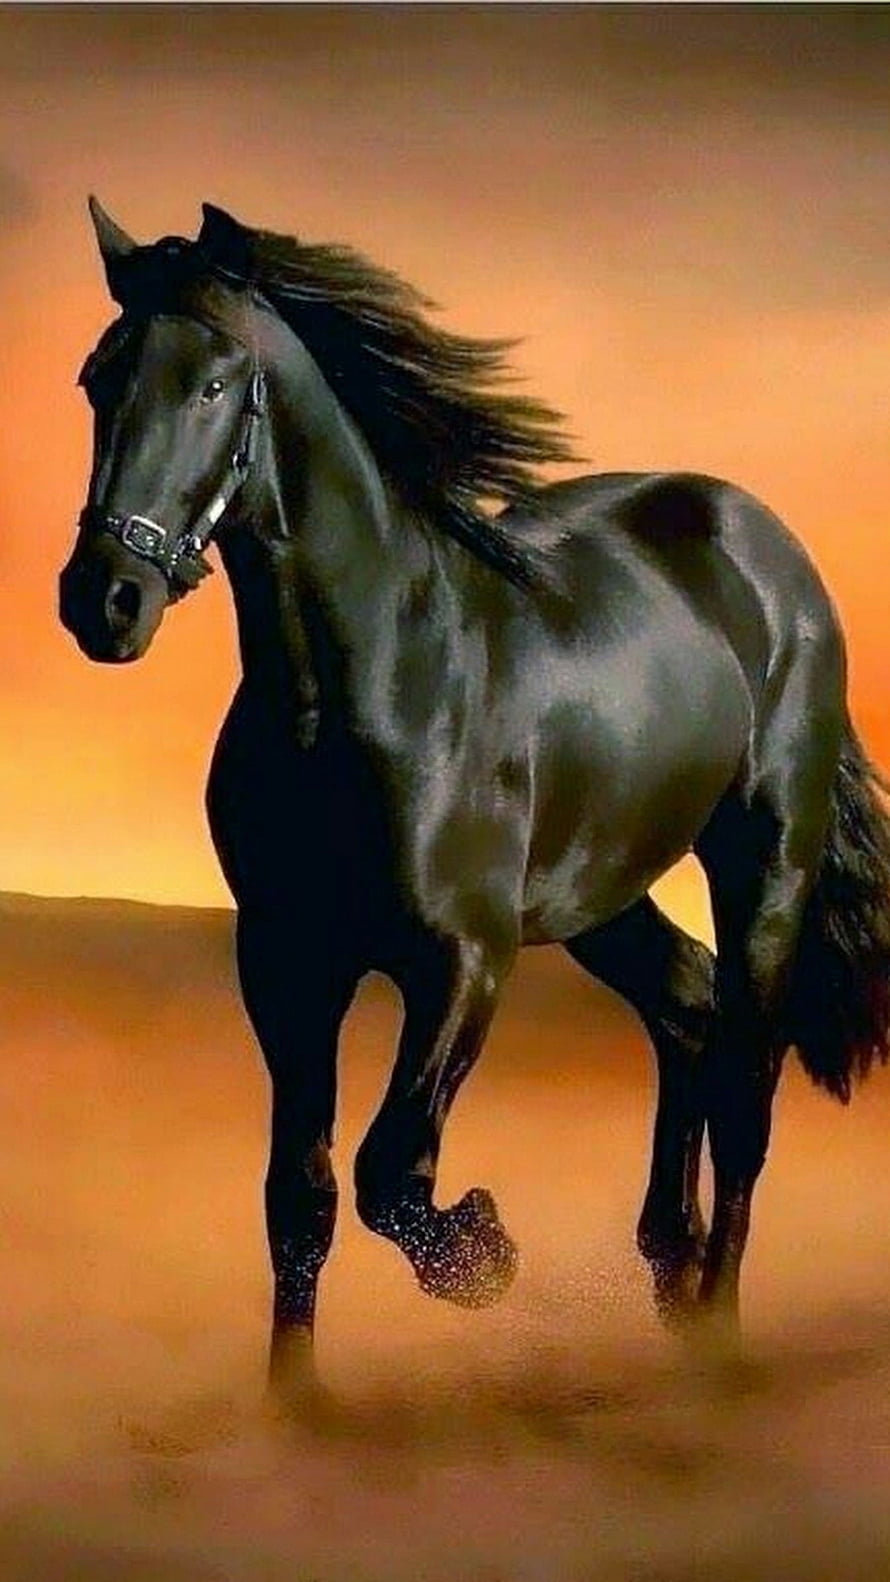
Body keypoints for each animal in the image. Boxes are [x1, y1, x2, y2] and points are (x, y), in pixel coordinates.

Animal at [59, 198, 890, 1407]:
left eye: (212, 384)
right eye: (97, 378)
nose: (104, 601)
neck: (369, 683)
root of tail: (766, 547)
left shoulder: (462, 958)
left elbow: (390, 1170)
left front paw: (486, 1253)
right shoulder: (286, 963)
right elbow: (301, 1194)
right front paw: (294, 1404)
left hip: (764, 863)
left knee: (743, 1085)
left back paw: (718, 1330)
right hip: (601, 893)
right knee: (686, 1007)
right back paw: (670, 1271)